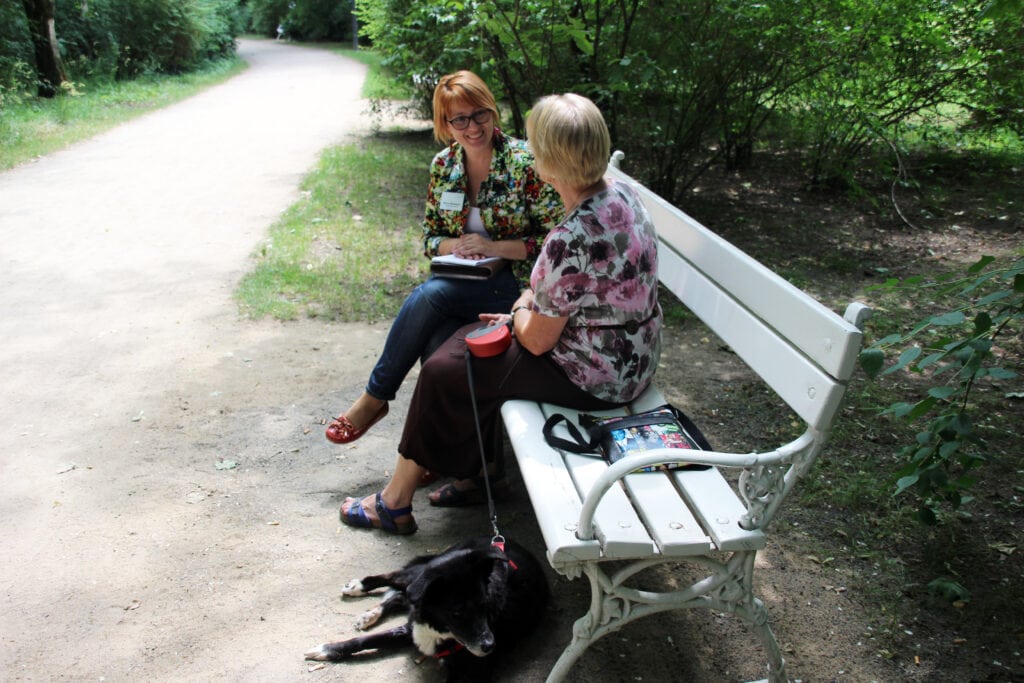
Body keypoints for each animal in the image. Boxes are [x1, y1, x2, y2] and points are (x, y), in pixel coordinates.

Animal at [305, 536, 552, 679]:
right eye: (457, 612)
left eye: (486, 606)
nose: (490, 646)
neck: (437, 628)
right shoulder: (412, 630)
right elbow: (366, 640)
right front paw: (328, 649)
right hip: (417, 575)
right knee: (393, 579)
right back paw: (359, 587)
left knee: (399, 597)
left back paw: (371, 613)